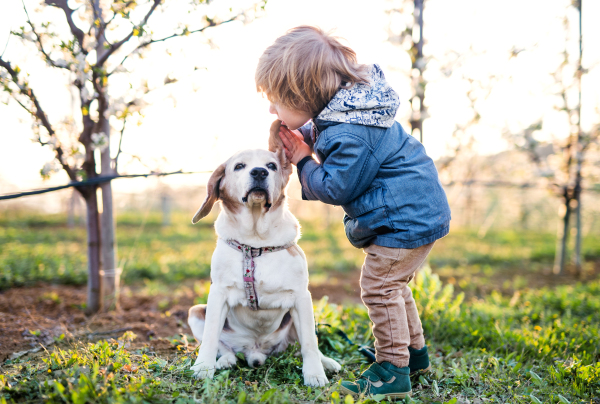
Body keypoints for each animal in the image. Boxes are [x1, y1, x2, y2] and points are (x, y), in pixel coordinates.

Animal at [188, 120, 340, 386]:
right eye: (239, 166)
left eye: (272, 166)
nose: (259, 172)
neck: (256, 241)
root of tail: (255, 351)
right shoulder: (217, 295)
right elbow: (210, 337)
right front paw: (203, 367)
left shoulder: (301, 297)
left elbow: (310, 344)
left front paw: (314, 374)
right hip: (196, 311)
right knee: (223, 346)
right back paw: (225, 360)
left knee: (304, 344)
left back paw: (327, 363)